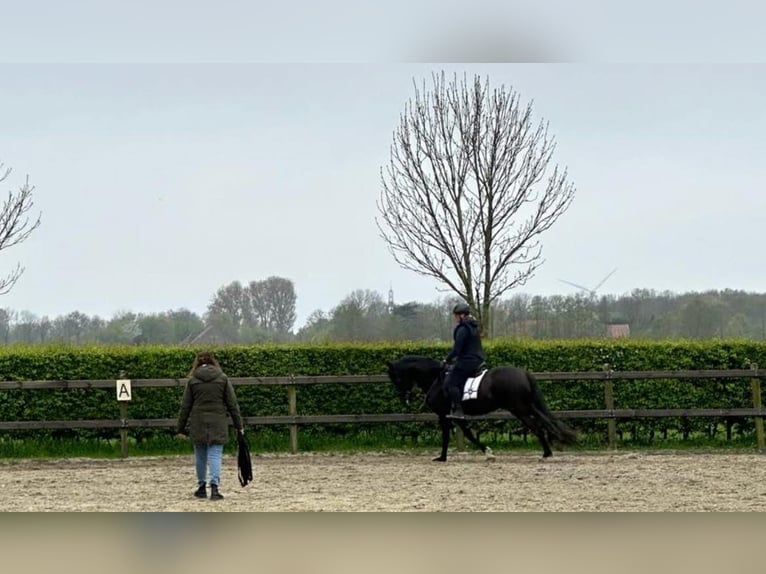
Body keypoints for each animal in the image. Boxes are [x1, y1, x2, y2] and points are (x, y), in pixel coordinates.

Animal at [390, 356, 576, 464]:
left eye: (396, 377)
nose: (403, 397)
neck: (437, 379)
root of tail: (524, 373)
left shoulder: (444, 415)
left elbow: (448, 436)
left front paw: (442, 458)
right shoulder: (456, 416)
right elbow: (469, 434)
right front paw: (487, 452)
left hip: (519, 409)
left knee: (537, 426)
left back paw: (547, 453)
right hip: (527, 405)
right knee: (543, 421)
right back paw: (553, 447)